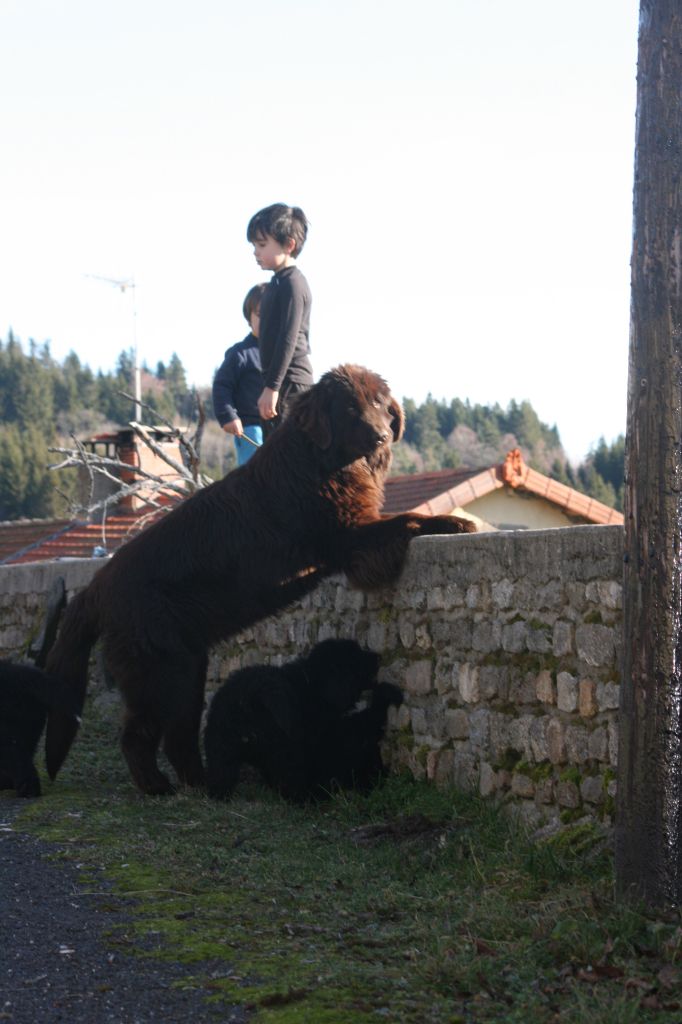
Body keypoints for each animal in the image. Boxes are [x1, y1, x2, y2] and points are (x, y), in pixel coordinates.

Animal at [204, 638, 401, 798]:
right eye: (355, 658)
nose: (377, 656)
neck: (313, 685)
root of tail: (247, 695)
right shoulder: (324, 733)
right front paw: (386, 694)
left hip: (220, 746)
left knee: (221, 771)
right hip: (281, 747)